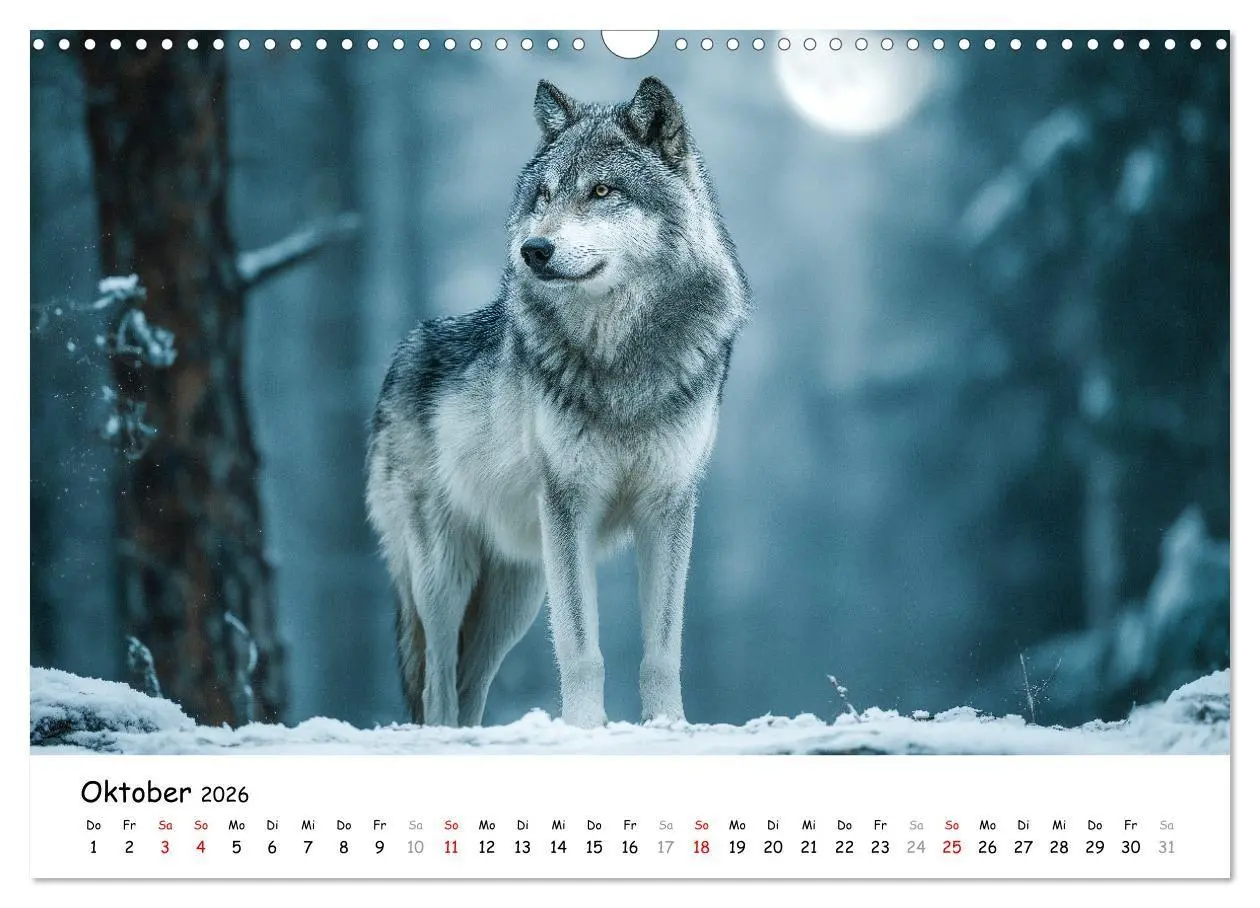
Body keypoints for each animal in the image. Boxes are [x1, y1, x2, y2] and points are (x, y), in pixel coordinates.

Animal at [366, 77, 749, 728]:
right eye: (543, 195)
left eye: (601, 191)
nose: (534, 249)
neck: (623, 358)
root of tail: (401, 355)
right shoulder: (571, 503)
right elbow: (581, 650)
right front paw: (586, 729)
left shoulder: (668, 506)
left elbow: (662, 652)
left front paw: (668, 726)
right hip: (445, 577)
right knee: (437, 686)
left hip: (515, 594)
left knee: (467, 685)